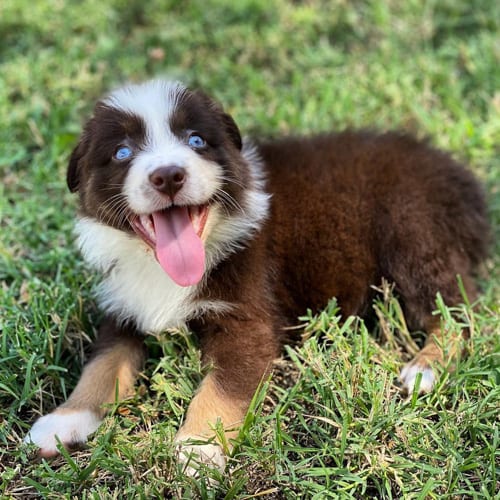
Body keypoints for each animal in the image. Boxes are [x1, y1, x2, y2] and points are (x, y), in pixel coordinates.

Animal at [24, 79, 488, 472]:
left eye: (196, 140)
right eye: (122, 152)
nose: (169, 175)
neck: (161, 268)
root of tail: (459, 177)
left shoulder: (247, 317)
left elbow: (220, 387)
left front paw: (198, 450)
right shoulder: (123, 307)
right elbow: (101, 367)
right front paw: (62, 421)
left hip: (413, 233)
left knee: (459, 311)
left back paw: (425, 369)